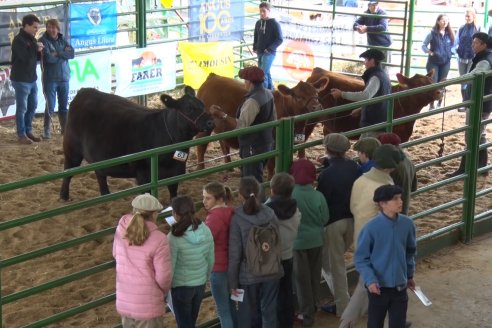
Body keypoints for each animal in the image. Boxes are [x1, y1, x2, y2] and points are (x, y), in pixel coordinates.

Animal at [59, 86, 213, 201]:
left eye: (202, 105)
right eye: (189, 108)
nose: (210, 122)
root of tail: (84, 91)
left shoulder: (177, 171)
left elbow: (173, 194)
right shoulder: (144, 174)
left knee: (100, 173)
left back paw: (106, 195)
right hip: (72, 150)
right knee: (68, 171)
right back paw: (64, 196)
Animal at [194, 73, 328, 178]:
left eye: (316, 93)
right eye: (299, 97)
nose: (317, 107)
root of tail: (213, 77)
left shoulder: (300, 141)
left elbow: (301, 156)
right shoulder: (273, 144)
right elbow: (271, 164)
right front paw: (270, 179)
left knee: (223, 142)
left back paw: (229, 167)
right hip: (204, 126)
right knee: (201, 144)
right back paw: (200, 170)